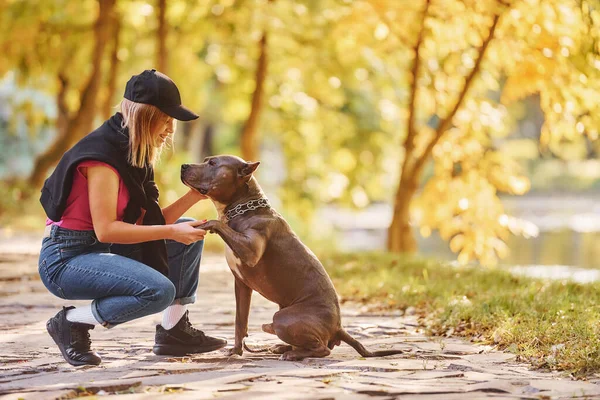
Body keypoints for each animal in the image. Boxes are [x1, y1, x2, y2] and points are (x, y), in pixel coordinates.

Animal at [178, 155, 404, 360]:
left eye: (213, 163)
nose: (184, 165)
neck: (241, 208)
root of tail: (338, 327)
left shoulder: (251, 251)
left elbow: (216, 223)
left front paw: (205, 225)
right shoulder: (241, 285)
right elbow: (240, 321)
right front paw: (236, 351)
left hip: (282, 318)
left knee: (322, 349)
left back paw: (291, 353)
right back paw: (282, 348)